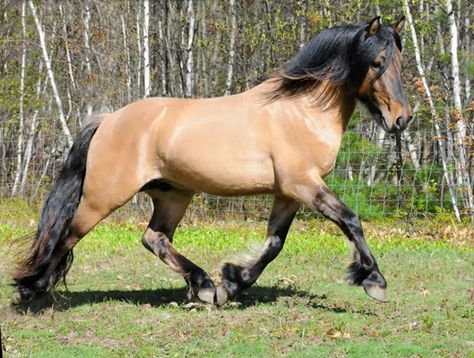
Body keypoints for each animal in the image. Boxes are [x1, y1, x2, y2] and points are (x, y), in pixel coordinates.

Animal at [12, 16, 412, 306]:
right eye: (377, 62)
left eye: (401, 62)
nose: (402, 119)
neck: (301, 110)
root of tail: (108, 120)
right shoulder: (303, 183)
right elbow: (350, 220)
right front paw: (374, 280)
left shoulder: (288, 192)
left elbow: (274, 244)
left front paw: (232, 283)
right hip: (103, 197)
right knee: (68, 233)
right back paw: (30, 289)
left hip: (173, 194)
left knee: (153, 238)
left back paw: (203, 285)